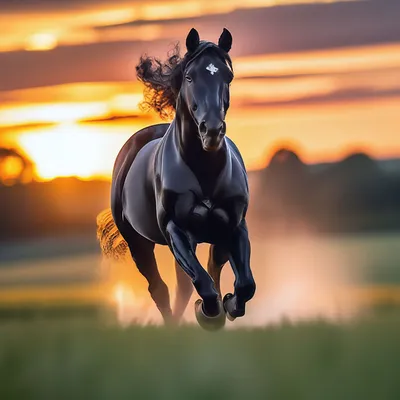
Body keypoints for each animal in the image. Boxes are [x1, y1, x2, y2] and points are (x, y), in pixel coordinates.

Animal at [98, 26, 258, 330]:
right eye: (190, 76)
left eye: (228, 76)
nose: (212, 131)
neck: (205, 172)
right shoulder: (176, 230)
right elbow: (203, 284)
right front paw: (209, 313)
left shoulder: (233, 227)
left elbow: (243, 284)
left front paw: (228, 306)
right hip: (139, 243)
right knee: (160, 288)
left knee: (191, 280)